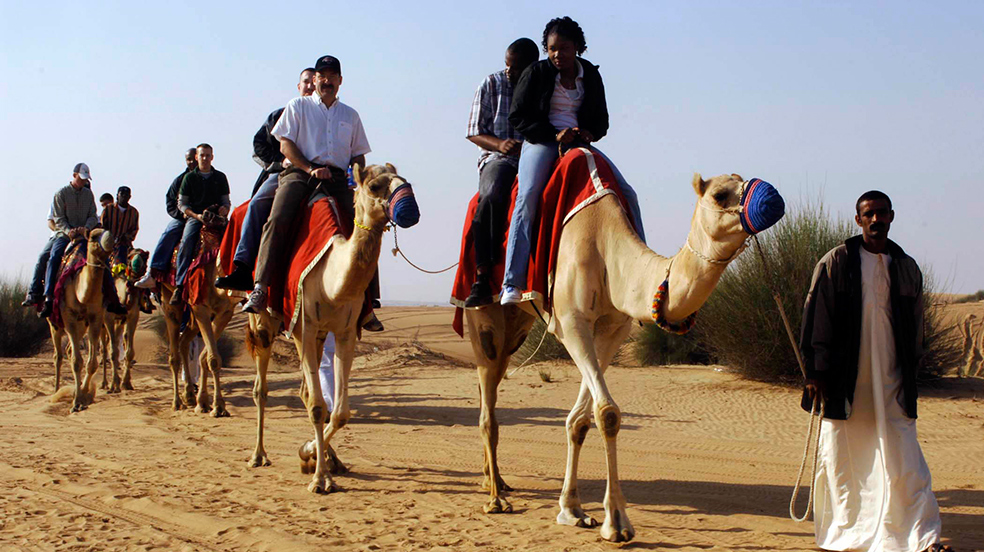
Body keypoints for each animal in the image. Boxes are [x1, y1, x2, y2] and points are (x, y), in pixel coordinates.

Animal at [47, 229, 116, 412]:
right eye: (93, 236)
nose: (111, 239)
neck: (82, 294)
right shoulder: (68, 316)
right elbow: (77, 362)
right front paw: (76, 401)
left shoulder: (96, 317)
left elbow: (91, 363)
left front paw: (84, 395)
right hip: (54, 324)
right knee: (58, 355)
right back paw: (55, 391)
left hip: (81, 326)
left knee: (69, 350)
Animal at [246, 163, 415, 494]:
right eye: (374, 186)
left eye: (405, 180)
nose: (411, 210)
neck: (331, 279)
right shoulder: (304, 328)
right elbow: (316, 406)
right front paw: (320, 478)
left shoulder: (345, 332)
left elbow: (338, 413)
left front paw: (310, 453)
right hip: (264, 323)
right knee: (262, 388)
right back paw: (259, 455)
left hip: (322, 335)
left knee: (305, 392)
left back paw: (331, 459)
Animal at [465, 168, 782, 542]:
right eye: (720, 194)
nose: (773, 199)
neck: (608, 249)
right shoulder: (571, 321)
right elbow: (608, 413)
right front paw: (616, 522)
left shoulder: (613, 328)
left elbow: (580, 420)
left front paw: (572, 510)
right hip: (485, 316)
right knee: (488, 396)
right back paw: (496, 499)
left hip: (517, 325)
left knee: (493, 383)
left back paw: (496, 481)